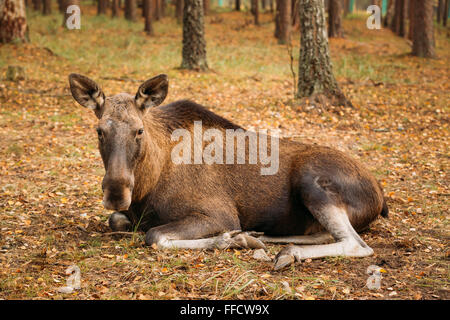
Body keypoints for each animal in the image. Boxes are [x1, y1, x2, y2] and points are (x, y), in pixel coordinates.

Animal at [67, 73, 386, 270]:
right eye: (99, 130)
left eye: (139, 130)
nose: (116, 192)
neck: (149, 183)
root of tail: (382, 197)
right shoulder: (128, 215)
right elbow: (116, 220)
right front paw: (241, 237)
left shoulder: (219, 214)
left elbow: (155, 236)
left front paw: (231, 239)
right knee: (328, 235)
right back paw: (265, 237)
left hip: (312, 182)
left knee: (357, 244)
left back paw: (286, 252)